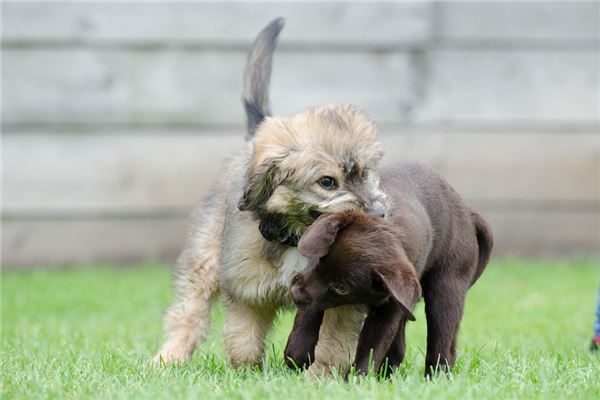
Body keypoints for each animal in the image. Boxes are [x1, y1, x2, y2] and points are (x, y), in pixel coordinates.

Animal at [155, 18, 386, 376]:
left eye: (365, 173)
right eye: (327, 182)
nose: (377, 216)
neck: (299, 238)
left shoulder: (342, 298)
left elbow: (333, 343)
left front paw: (322, 377)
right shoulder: (247, 292)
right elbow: (243, 339)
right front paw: (248, 374)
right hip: (205, 260)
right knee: (188, 312)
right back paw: (169, 358)